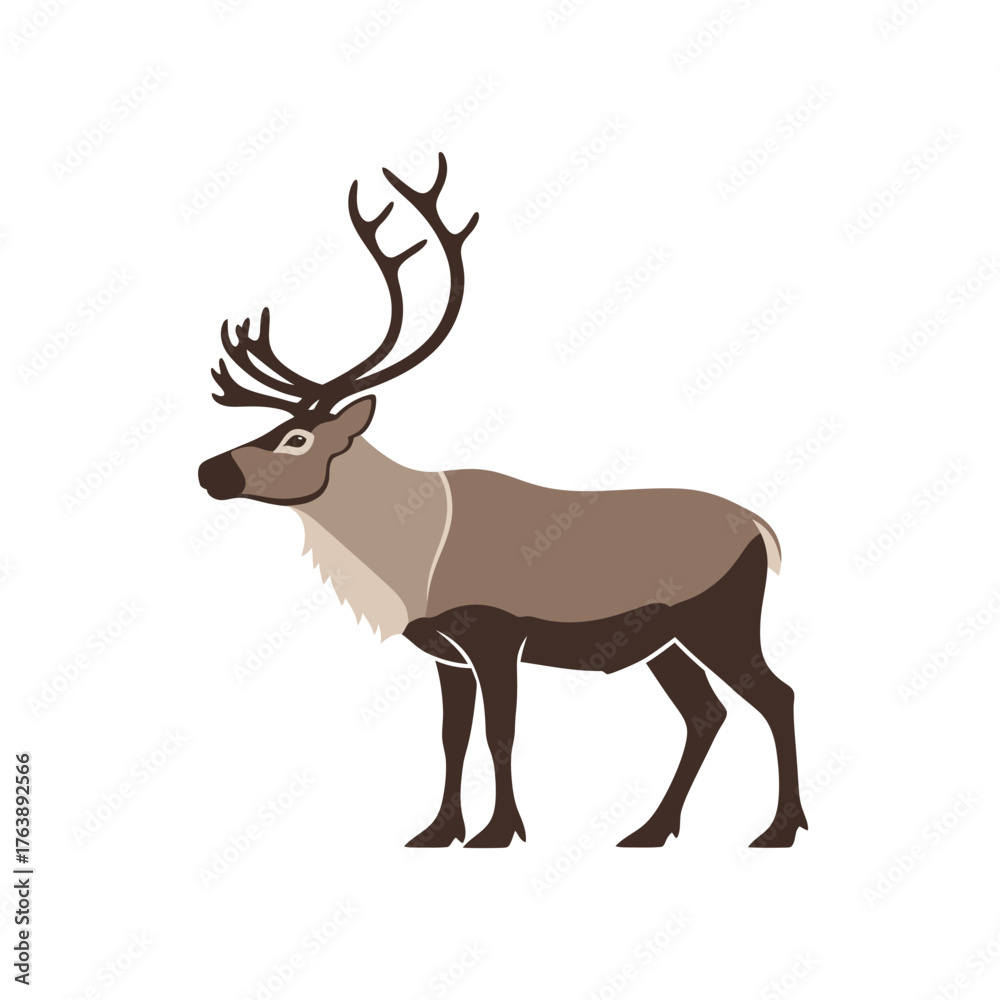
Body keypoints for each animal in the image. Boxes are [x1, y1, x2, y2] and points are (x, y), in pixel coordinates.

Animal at [198, 154, 808, 850]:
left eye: (296, 437)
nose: (208, 470)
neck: (413, 559)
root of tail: (764, 530)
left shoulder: (496, 633)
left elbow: (500, 733)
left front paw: (499, 831)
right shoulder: (448, 654)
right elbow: (450, 738)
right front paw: (437, 831)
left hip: (718, 617)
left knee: (776, 695)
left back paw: (779, 829)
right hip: (665, 640)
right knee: (706, 712)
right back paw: (651, 829)